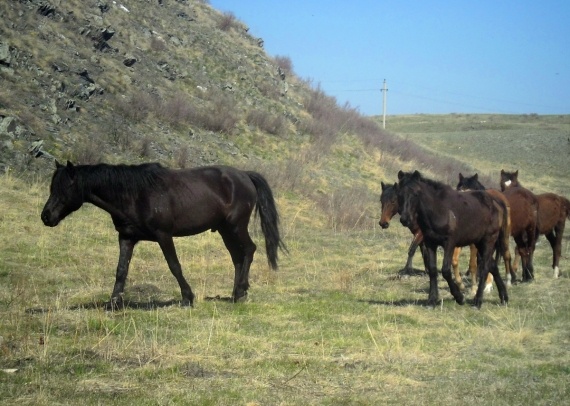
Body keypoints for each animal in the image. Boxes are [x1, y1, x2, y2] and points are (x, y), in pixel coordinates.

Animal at [41, 160, 286, 306]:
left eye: (65, 188)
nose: (46, 216)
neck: (135, 194)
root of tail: (244, 175)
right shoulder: (126, 238)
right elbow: (121, 270)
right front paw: (113, 303)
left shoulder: (163, 235)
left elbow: (174, 266)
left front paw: (187, 297)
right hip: (226, 230)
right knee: (237, 257)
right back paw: (236, 292)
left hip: (236, 226)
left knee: (249, 250)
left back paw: (241, 292)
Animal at [394, 169, 506, 308]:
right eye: (399, 194)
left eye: (415, 194)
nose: (405, 219)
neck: (439, 210)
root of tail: (497, 204)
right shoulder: (430, 243)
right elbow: (432, 269)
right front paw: (432, 300)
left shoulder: (449, 244)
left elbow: (446, 270)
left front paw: (459, 297)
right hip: (479, 243)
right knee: (493, 265)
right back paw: (504, 296)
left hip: (488, 241)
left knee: (485, 267)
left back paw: (478, 301)